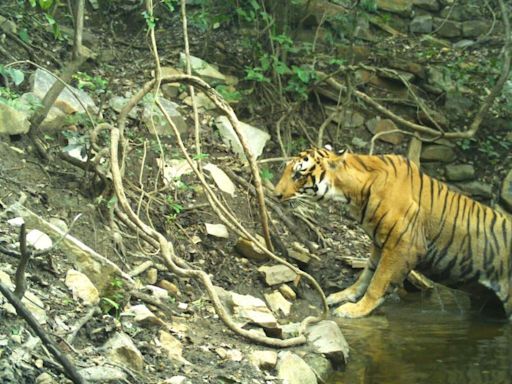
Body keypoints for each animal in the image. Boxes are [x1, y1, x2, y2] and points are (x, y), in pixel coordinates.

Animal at [274, 146, 512, 320]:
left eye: (298, 174)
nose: (275, 195)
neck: (353, 193)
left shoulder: (404, 245)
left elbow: (378, 282)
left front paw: (354, 310)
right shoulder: (380, 243)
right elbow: (366, 275)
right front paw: (342, 296)